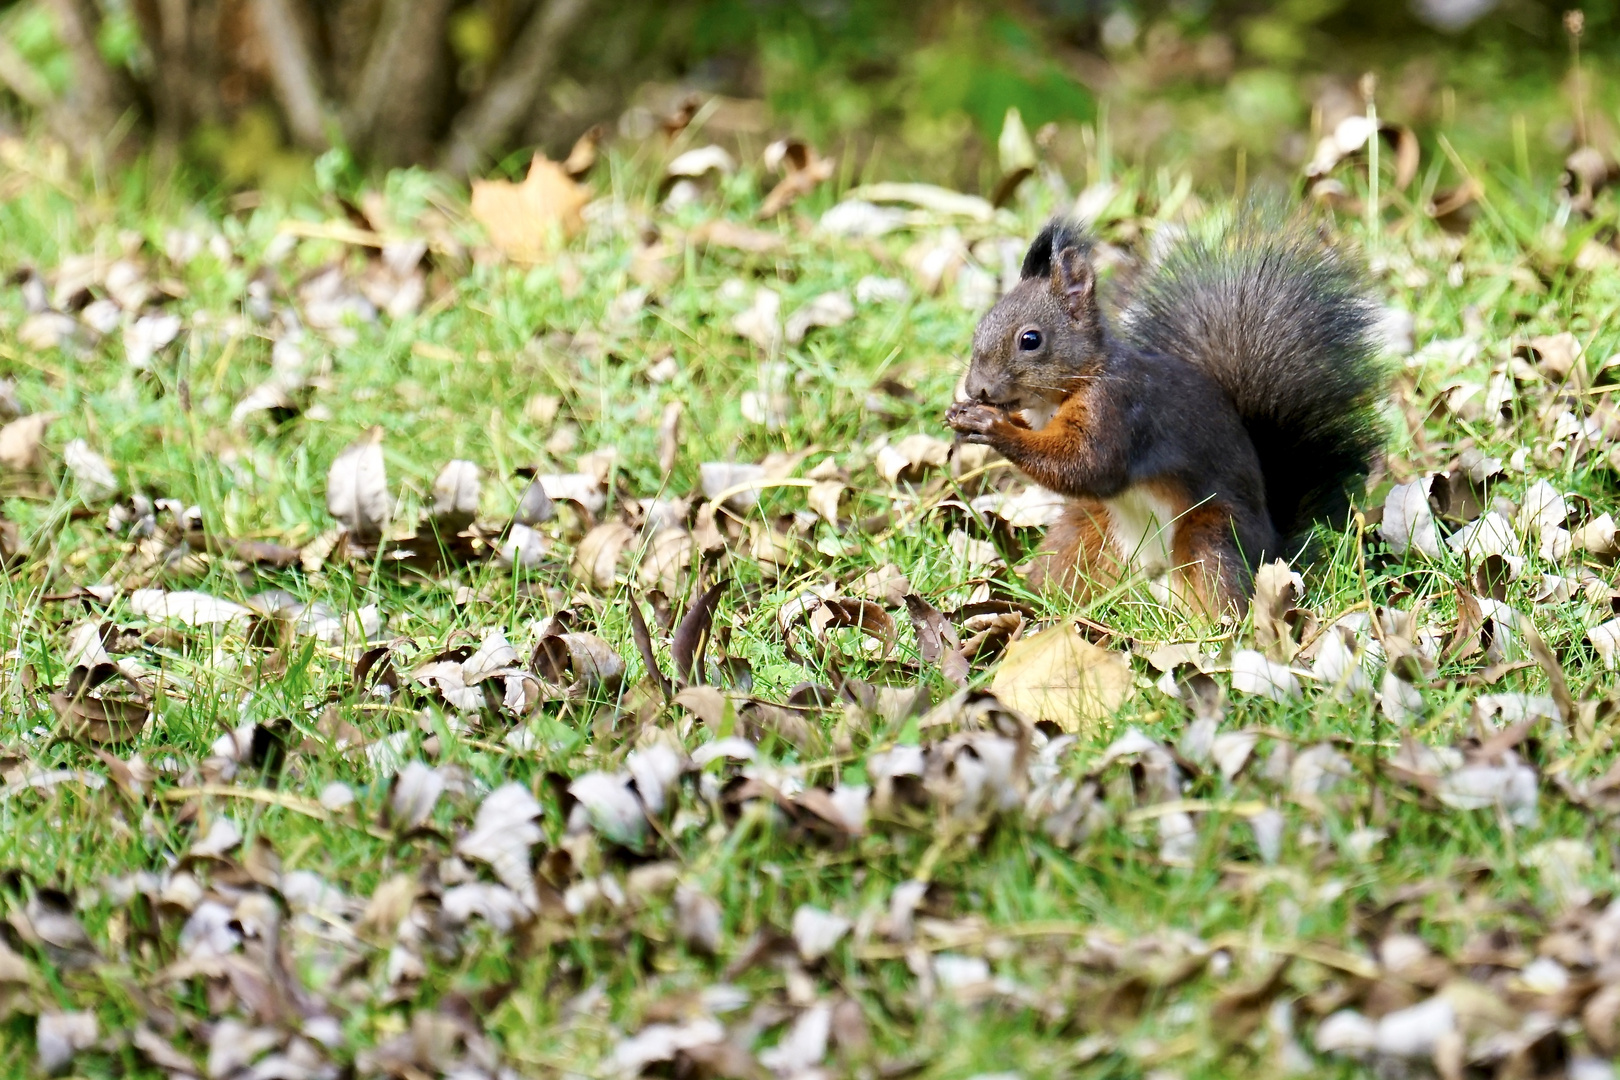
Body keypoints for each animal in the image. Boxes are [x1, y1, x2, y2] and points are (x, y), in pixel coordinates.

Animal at [946, 215, 1393, 615]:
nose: (976, 388)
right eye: (979, 327)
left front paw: (992, 426)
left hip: (1209, 538)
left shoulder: (1118, 410)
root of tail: (1272, 543)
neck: (1067, 389)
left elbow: (1089, 466)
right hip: (1084, 532)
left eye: (1031, 340)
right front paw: (964, 415)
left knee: (1219, 591)